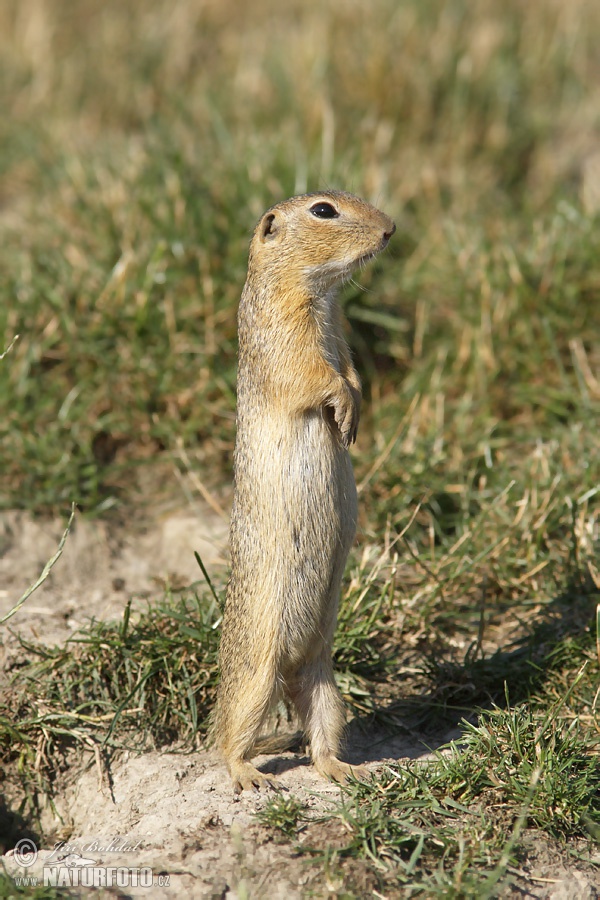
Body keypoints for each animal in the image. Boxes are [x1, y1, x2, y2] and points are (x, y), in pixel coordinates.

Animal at [214, 192, 394, 796]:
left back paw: (346, 769)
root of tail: (291, 673)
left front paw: (355, 415)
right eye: (323, 210)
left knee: (319, 740)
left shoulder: (339, 331)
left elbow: (354, 372)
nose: (391, 228)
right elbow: (314, 375)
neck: (319, 294)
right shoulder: (285, 332)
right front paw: (342, 406)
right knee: (227, 737)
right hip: (254, 678)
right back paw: (249, 776)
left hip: (325, 685)